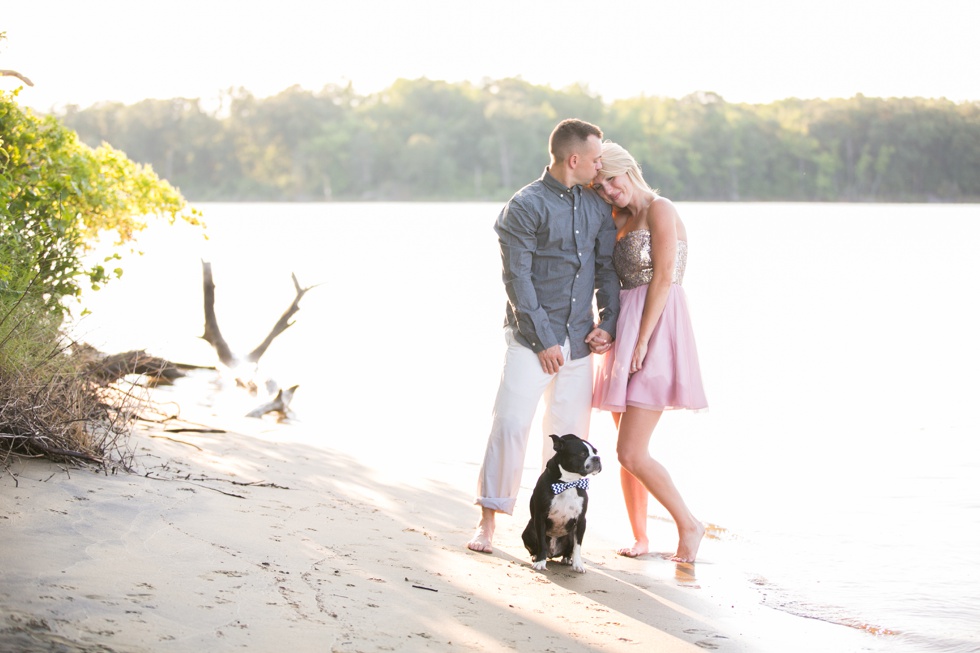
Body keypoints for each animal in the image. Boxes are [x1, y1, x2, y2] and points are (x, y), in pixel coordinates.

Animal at [524, 436, 600, 572]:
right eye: (583, 454)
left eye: (595, 452)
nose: (598, 458)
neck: (567, 482)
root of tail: (552, 553)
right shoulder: (540, 517)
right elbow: (542, 542)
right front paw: (540, 562)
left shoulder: (581, 521)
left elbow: (578, 546)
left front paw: (578, 564)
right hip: (529, 530)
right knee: (536, 546)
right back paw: (536, 556)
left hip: (569, 535)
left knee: (569, 550)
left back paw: (567, 559)